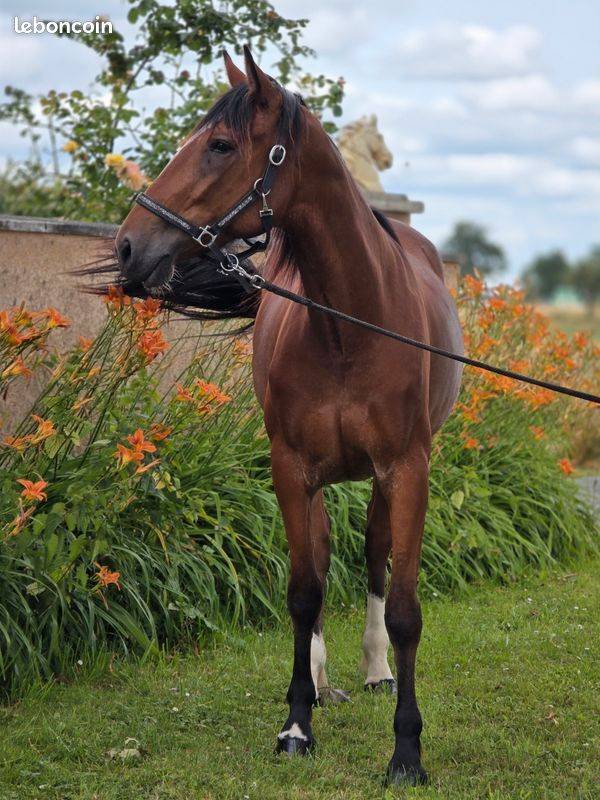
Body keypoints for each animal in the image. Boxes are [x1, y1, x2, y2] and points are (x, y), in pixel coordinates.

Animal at [113, 47, 463, 786]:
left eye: (220, 145)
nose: (129, 247)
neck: (349, 322)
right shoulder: (291, 467)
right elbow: (303, 591)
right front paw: (297, 723)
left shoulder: (407, 469)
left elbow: (405, 608)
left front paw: (406, 752)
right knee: (324, 560)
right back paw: (323, 681)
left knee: (373, 556)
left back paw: (375, 671)